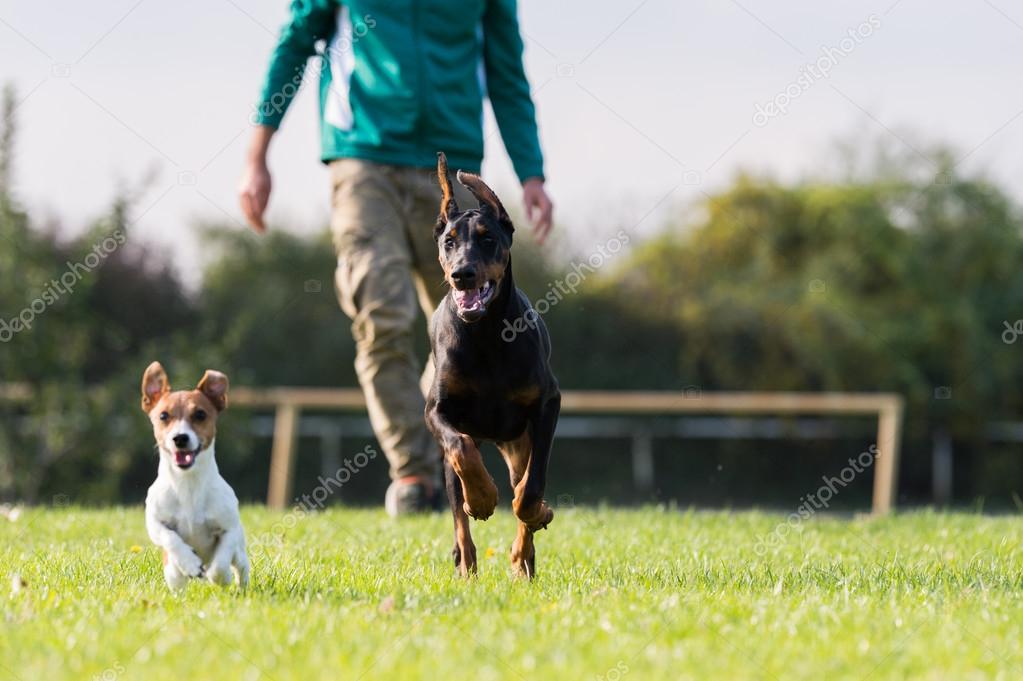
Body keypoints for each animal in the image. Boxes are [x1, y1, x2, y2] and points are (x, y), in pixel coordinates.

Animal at [140, 359, 249, 588]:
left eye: (200, 414)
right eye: (163, 415)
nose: (180, 438)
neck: (188, 484)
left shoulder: (230, 528)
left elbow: (221, 560)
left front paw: (219, 576)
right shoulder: (155, 523)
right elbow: (169, 537)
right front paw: (189, 563)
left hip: (240, 552)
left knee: (241, 567)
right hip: (172, 570)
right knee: (175, 576)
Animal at [427, 152, 564, 576]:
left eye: (489, 239)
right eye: (449, 241)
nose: (462, 274)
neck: (485, 334)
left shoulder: (547, 403)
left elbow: (532, 486)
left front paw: (535, 513)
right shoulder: (437, 410)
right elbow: (462, 448)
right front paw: (483, 497)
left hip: (518, 441)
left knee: (524, 482)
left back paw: (523, 555)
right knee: (460, 519)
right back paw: (466, 565)